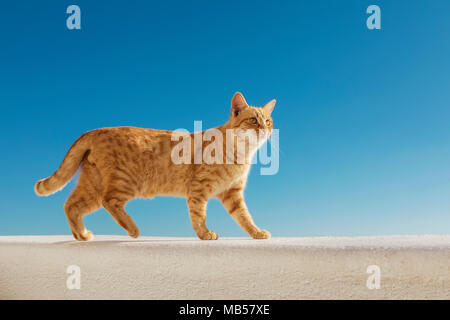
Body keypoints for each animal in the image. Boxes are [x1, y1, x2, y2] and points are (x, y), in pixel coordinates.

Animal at [34, 92, 274, 240]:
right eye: (253, 120)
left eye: (268, 121)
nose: (265, 129)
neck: (241, 153)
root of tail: (96, 130)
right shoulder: (198, 189)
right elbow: (198, 215)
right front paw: (205, 234)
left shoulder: (233, 193)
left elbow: (244, 217)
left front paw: (257, 233)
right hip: (126, 182)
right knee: (108, 201)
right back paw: (132, 229)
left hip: (92, 184)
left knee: (71, 205)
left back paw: (81, 235)